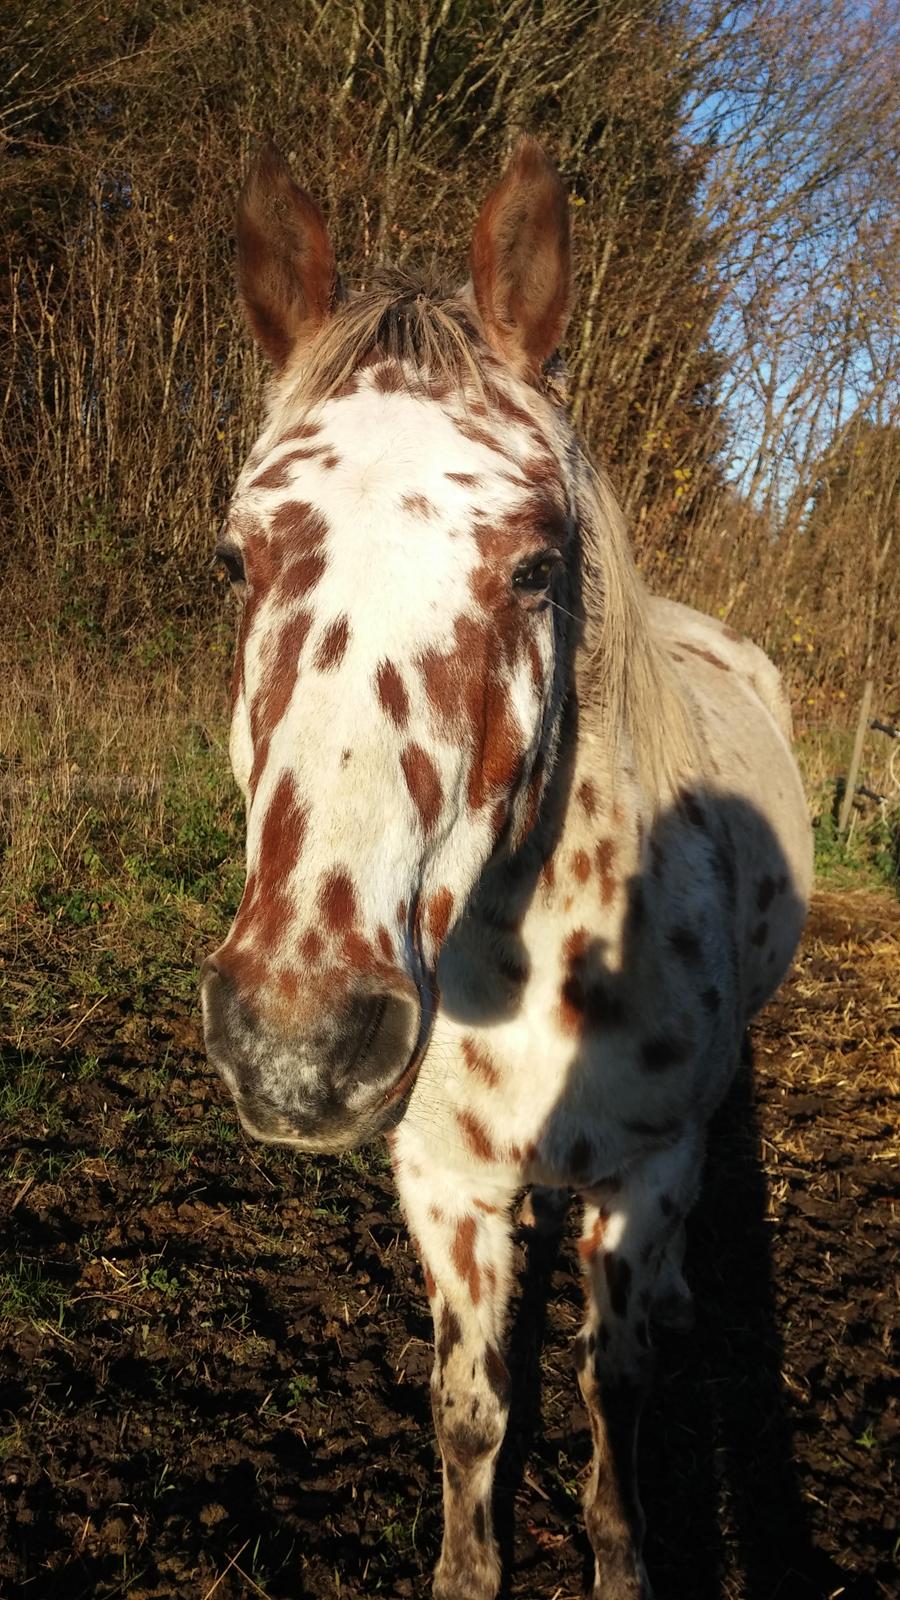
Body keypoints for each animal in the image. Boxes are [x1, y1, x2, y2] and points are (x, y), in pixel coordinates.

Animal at [199, 137, 810, 1600]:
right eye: (237, 557)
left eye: (536, 565)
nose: (297, 1043)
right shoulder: (446, 1184)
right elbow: (470, 1413)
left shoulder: (639, 1181)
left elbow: (615, 1389)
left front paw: (621, 1555)